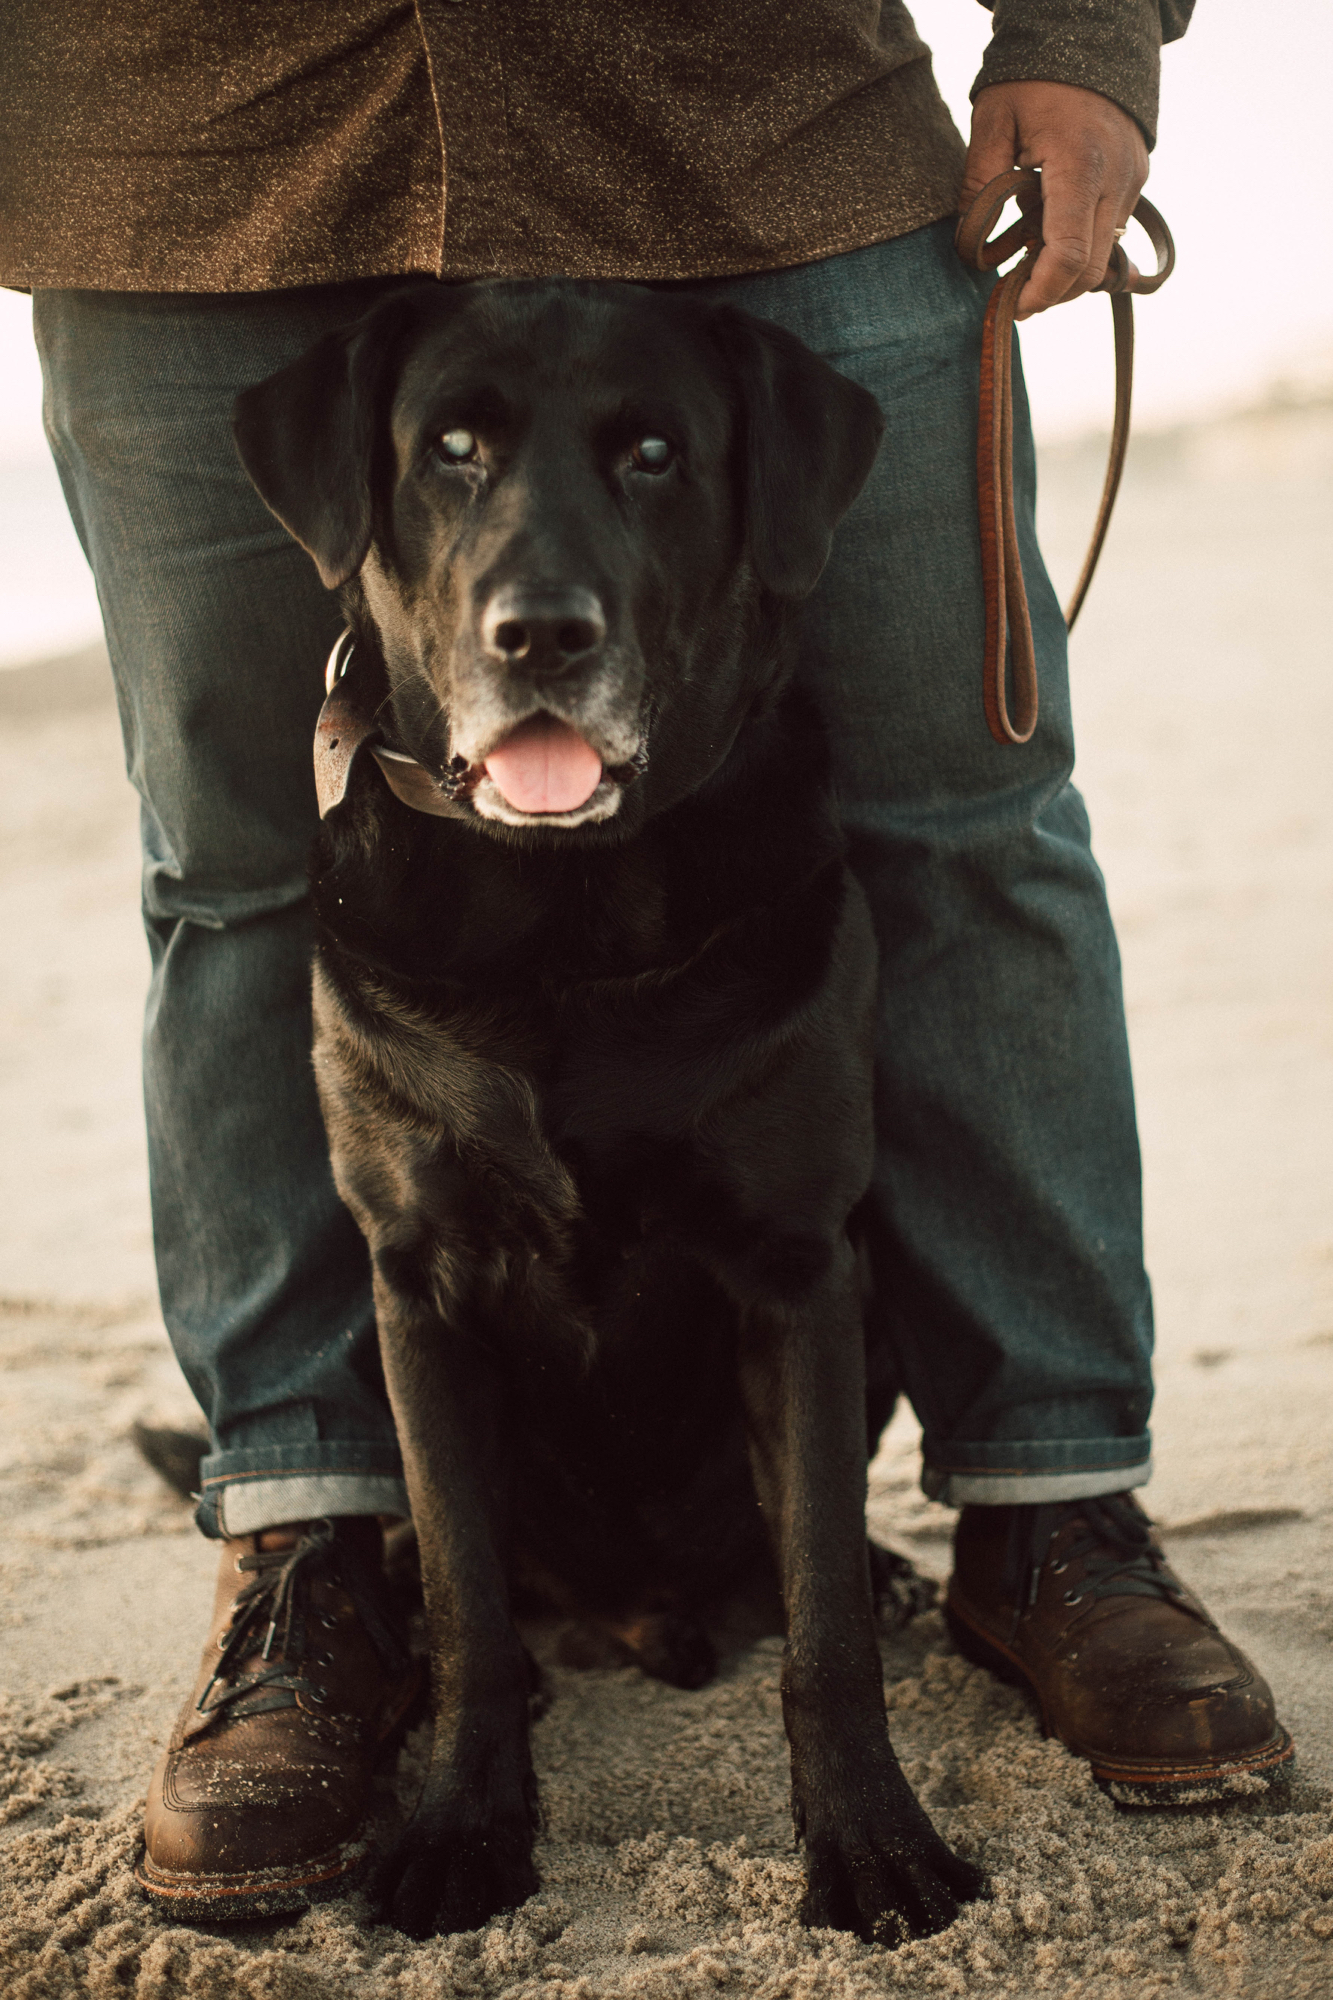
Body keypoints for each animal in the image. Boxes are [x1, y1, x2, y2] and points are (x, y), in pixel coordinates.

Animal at [228, 274, 980, 1944]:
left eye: (653, 455)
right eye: (450, 449)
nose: (543, 635)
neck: (559, 916)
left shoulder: (797, 1268)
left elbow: (824, 1615)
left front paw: (871, 1840)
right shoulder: (417, 1288)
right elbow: (467, 1597)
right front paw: (460, 1826)